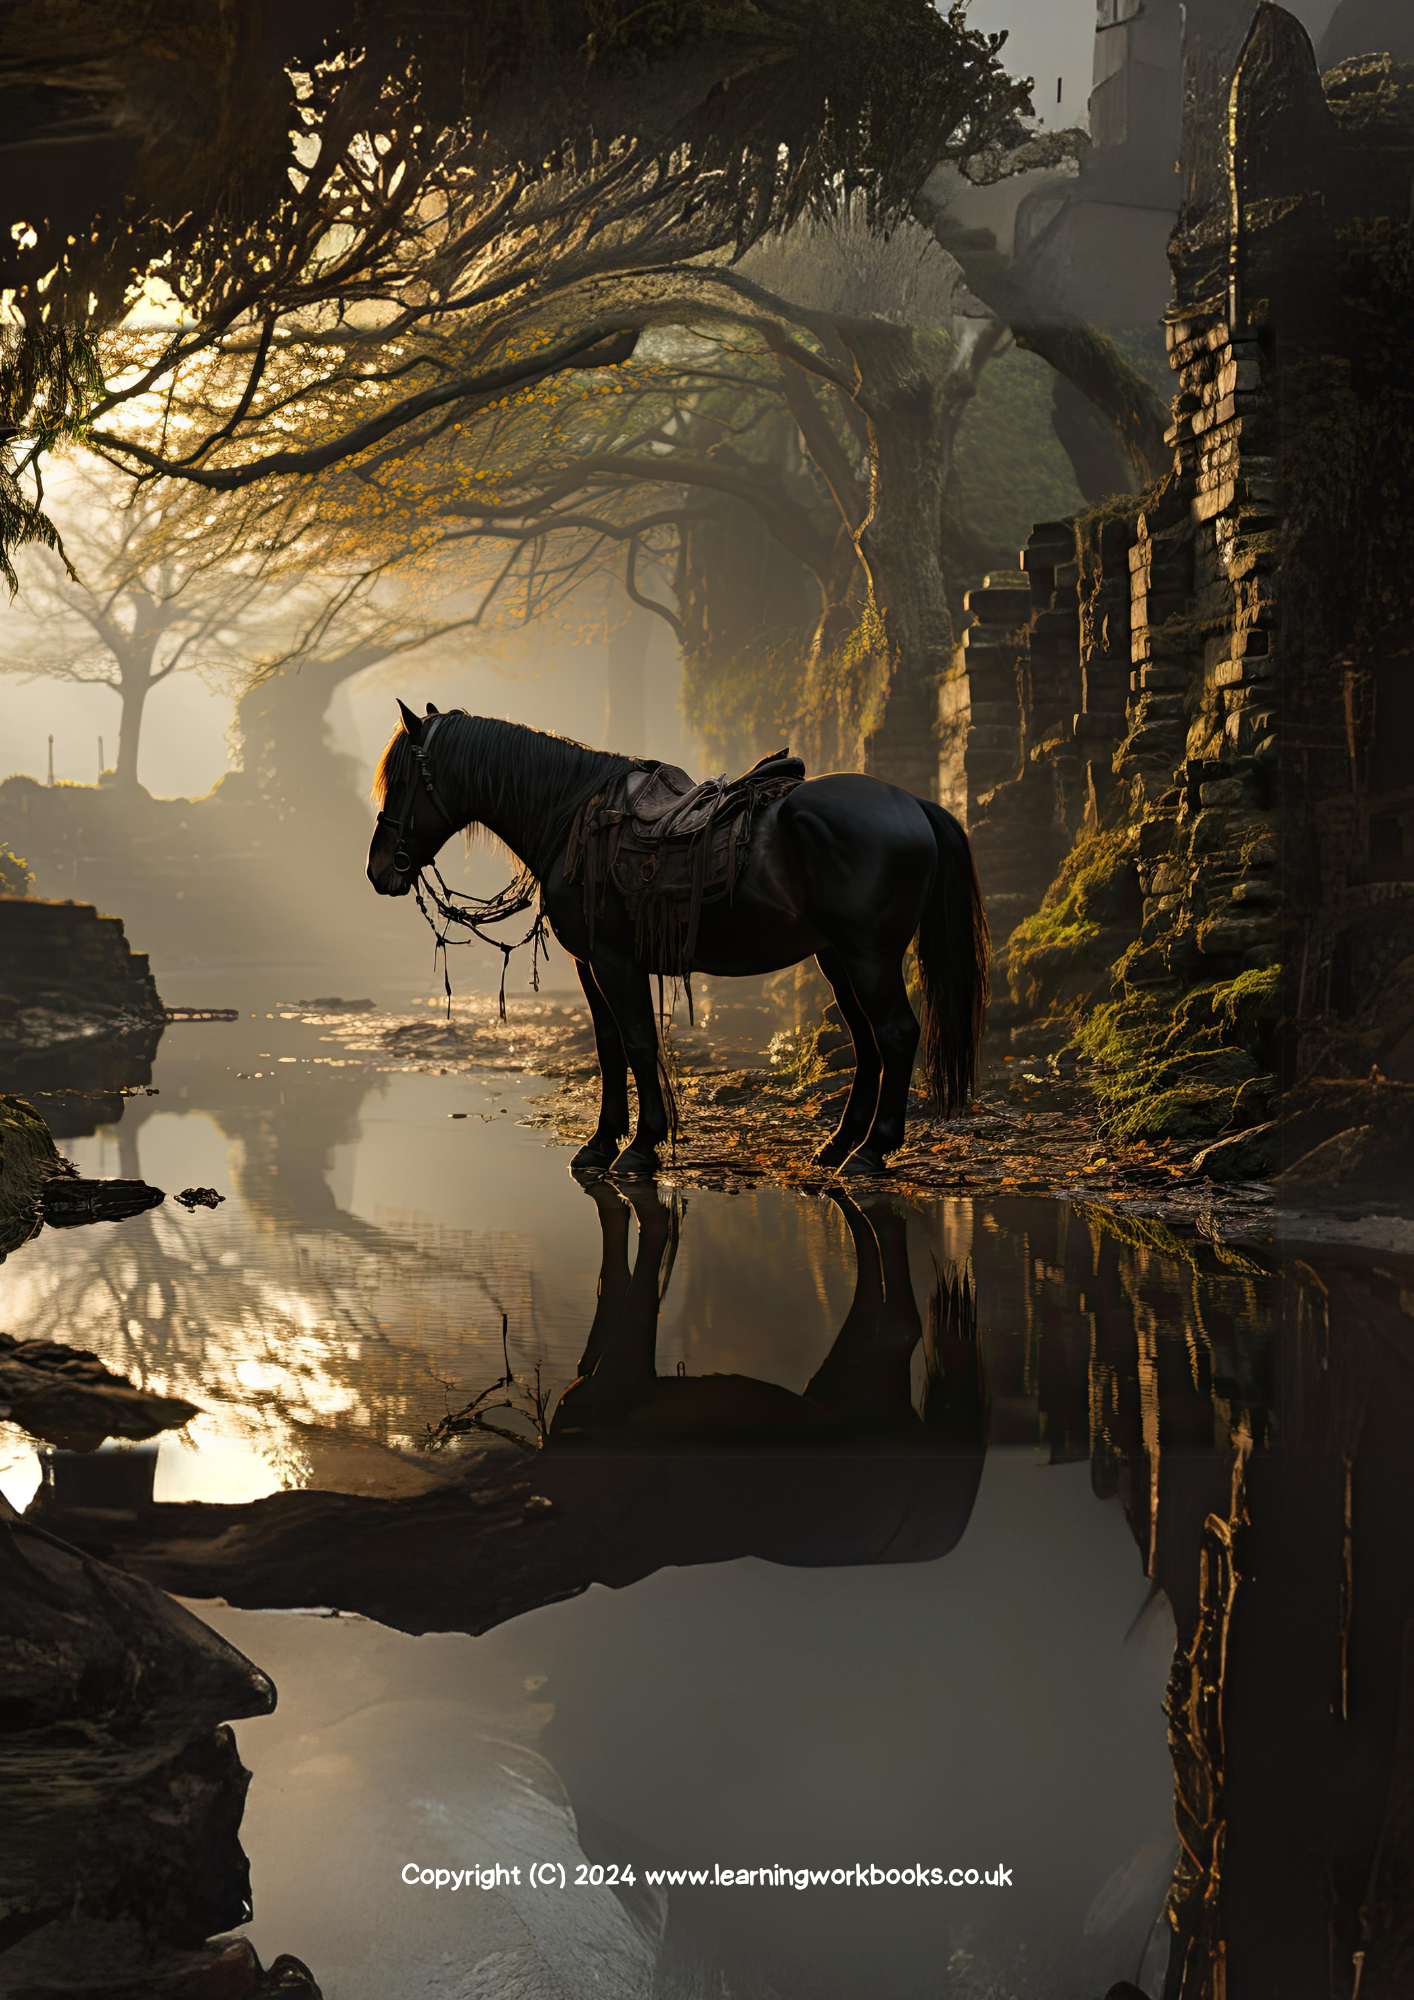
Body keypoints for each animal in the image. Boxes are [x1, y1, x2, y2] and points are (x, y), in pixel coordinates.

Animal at [367, 702, 989, 1177]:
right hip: (837, 957)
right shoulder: (590, 963)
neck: (569, 817)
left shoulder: (614, 961)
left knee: (897, 1034)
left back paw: (872, 1151)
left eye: (401, 783)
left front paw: (642, 1147)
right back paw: (839, 1144)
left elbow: (640, 1042)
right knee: (865, 1040)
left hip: (869, 957)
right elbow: (609, 1046)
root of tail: (913, 804)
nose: (378, 870)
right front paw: (601, 1143)